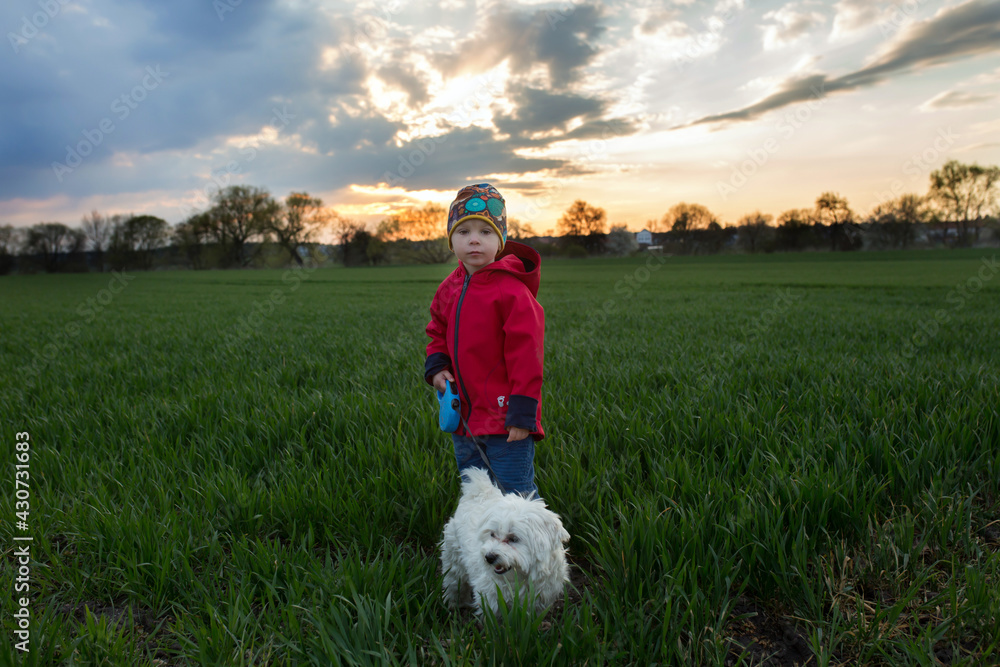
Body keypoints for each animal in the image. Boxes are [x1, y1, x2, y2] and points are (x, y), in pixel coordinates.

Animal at [440, 470, 572, 616]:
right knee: (454, 583)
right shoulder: (491, 600)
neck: (520, 579)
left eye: (514, 539)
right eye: (492, 534)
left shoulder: (540, 600)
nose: (489, 557)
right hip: (454, 561)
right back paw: (455, 604)